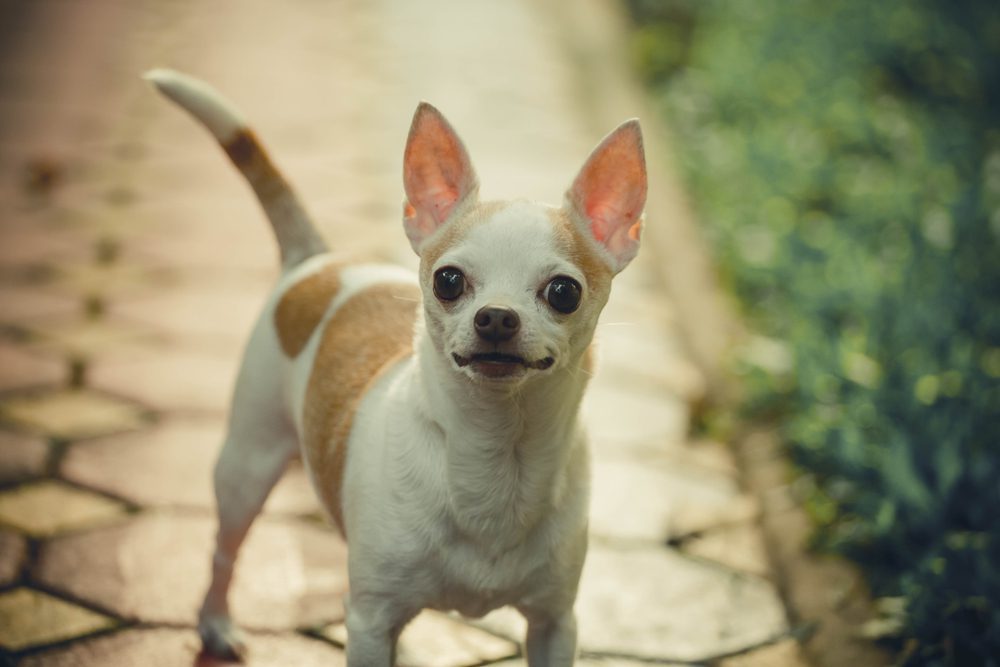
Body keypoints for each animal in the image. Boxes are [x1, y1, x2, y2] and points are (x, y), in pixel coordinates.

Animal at [146, 69, 648, 667]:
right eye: (449, 281)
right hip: (246, 467)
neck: (494, 454)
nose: (496, 317)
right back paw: (216, 623)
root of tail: (321, 259)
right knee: (225, 550)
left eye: (564, 292)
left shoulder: (554, 623)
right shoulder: (369, 618)